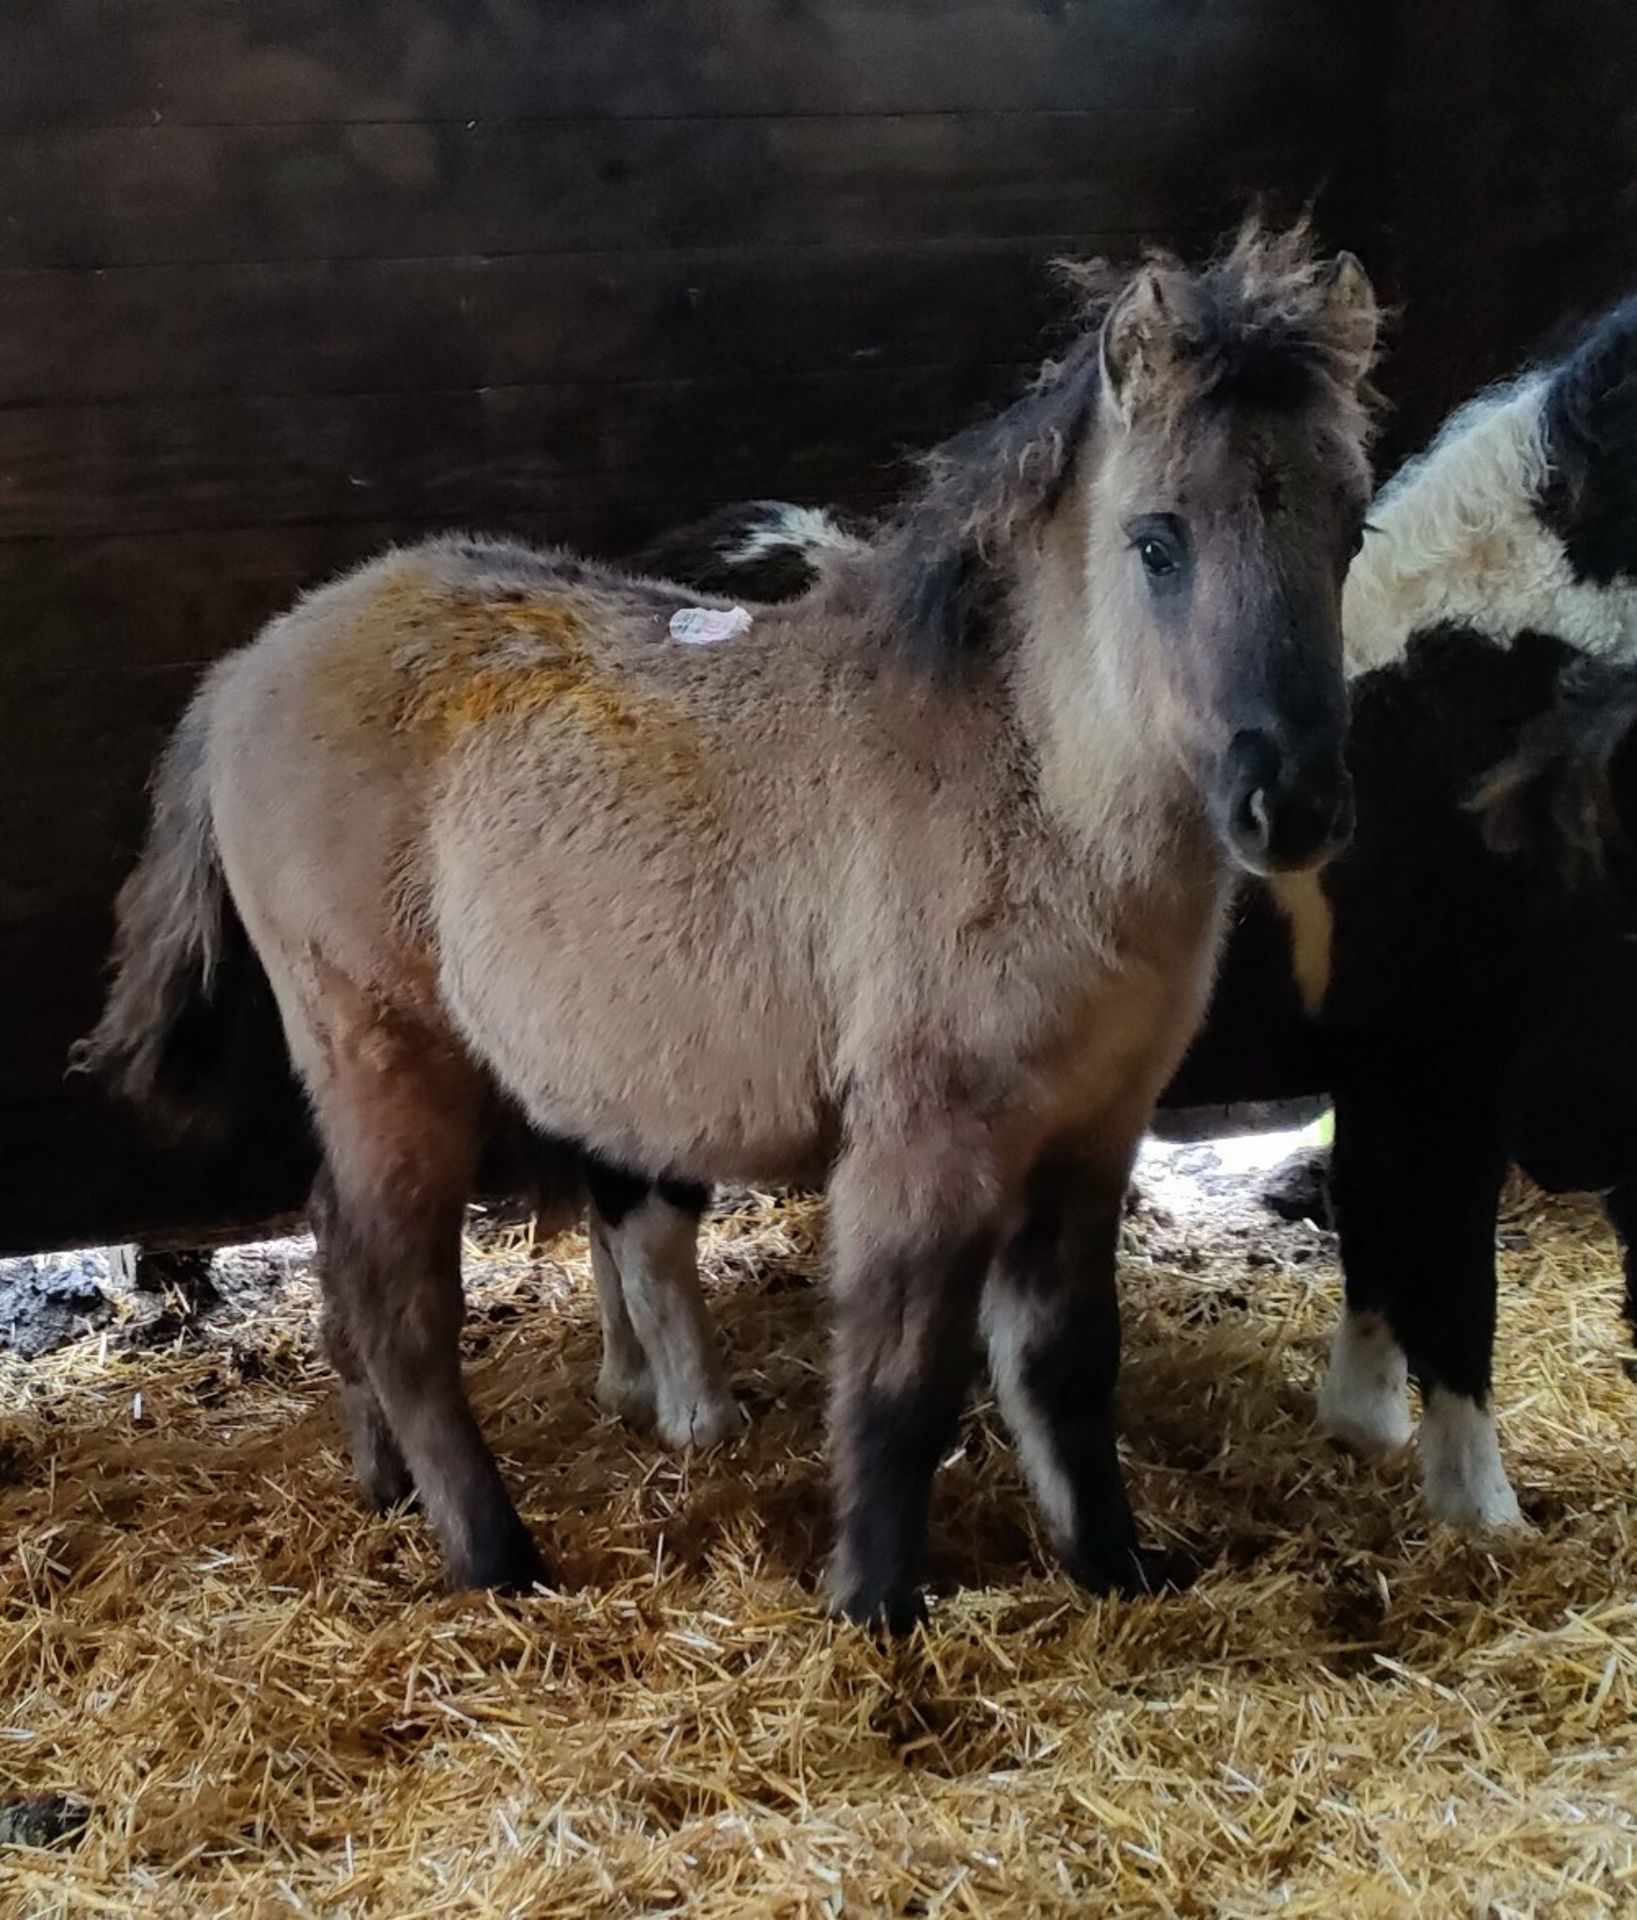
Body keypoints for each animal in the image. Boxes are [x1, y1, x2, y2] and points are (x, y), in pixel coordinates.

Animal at [637, 291, 1635, 1536]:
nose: (1293, 810)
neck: (1471, 671)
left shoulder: (1375, 1064)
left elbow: (1370, 1241)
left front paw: (1363, 1424)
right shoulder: (1446, 1061)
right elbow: (1451, 1282)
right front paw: (1481, 1510)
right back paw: (693, 1412)